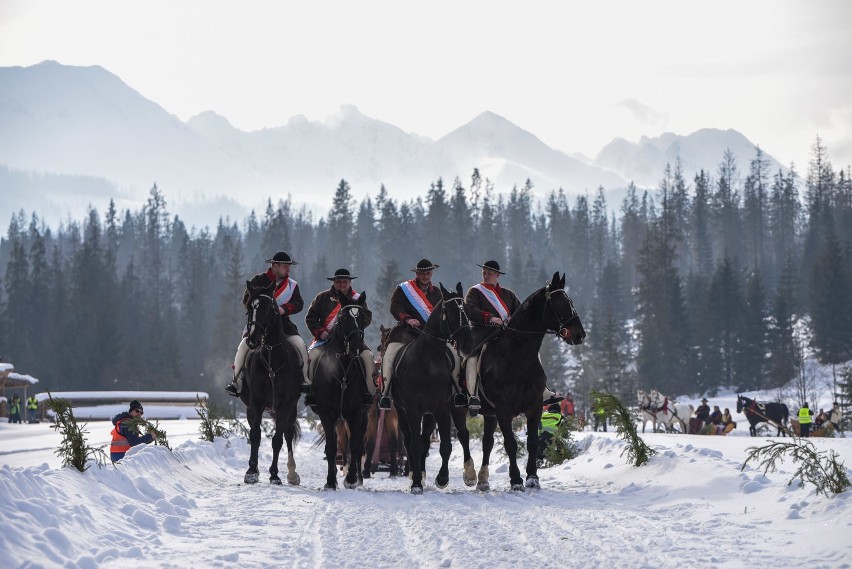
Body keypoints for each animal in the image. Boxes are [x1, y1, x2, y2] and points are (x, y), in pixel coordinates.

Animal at [240, 276, 302, 484]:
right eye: (249, 309)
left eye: (268, 309)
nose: (252, 340)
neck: (272, 362)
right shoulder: (256, 402)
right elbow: (255, 435)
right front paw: (252, 471)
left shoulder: (285, 404)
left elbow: (277, 439)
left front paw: (275, 474)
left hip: (290, 409)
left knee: (288, 433)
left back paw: (292, 473)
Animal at [310, 292, 370, 488]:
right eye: (343, 318)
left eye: (363, 317)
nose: (357, 344)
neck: (343, 369)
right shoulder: (327, 414)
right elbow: (331, 447)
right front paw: (330, 481)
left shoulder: (356, 413)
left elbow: (355, 445)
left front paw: (351, 478)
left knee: (359, 445)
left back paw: (358, 477)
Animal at [392, 282, 476, 492]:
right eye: (452, 312)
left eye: (466, 311)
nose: (467, 344)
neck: (429, 362)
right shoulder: (412, 409)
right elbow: (414, 445)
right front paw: (416, 482)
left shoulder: (442, 408)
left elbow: (446, 446)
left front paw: (442, 478)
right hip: (402, 410)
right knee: (410, 439)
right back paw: (416, 474)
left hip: (442, 411)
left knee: (460, 434)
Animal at [472, 272, 584, 490]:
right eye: (559, 303)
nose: (579, 334)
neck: (516, 356)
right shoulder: (503, 410)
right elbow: (511, 444)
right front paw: (516, 480)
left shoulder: (534, 407)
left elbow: (532, 442)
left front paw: (532, 477)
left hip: (488, 414)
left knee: (487, 443)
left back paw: (482, 480)